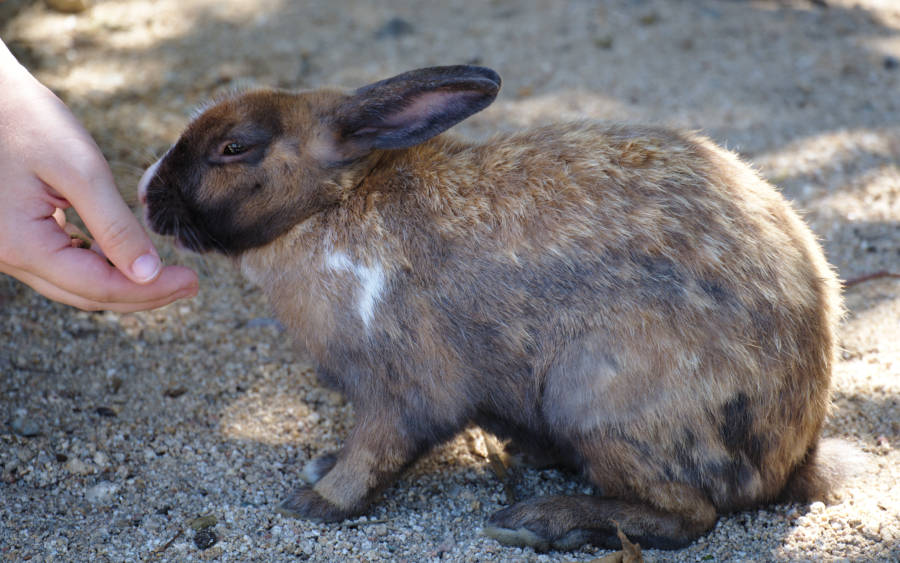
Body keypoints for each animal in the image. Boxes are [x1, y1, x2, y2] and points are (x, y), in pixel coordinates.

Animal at [139, 65, 844, 552]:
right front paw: (321, 468)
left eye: (234, 148)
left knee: (688, 515)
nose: (147, 194)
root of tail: (795, 455)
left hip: (596, 395)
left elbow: (374, 455)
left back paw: (539, 523)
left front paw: (314, 502)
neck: (329, 206)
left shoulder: (399, 389)